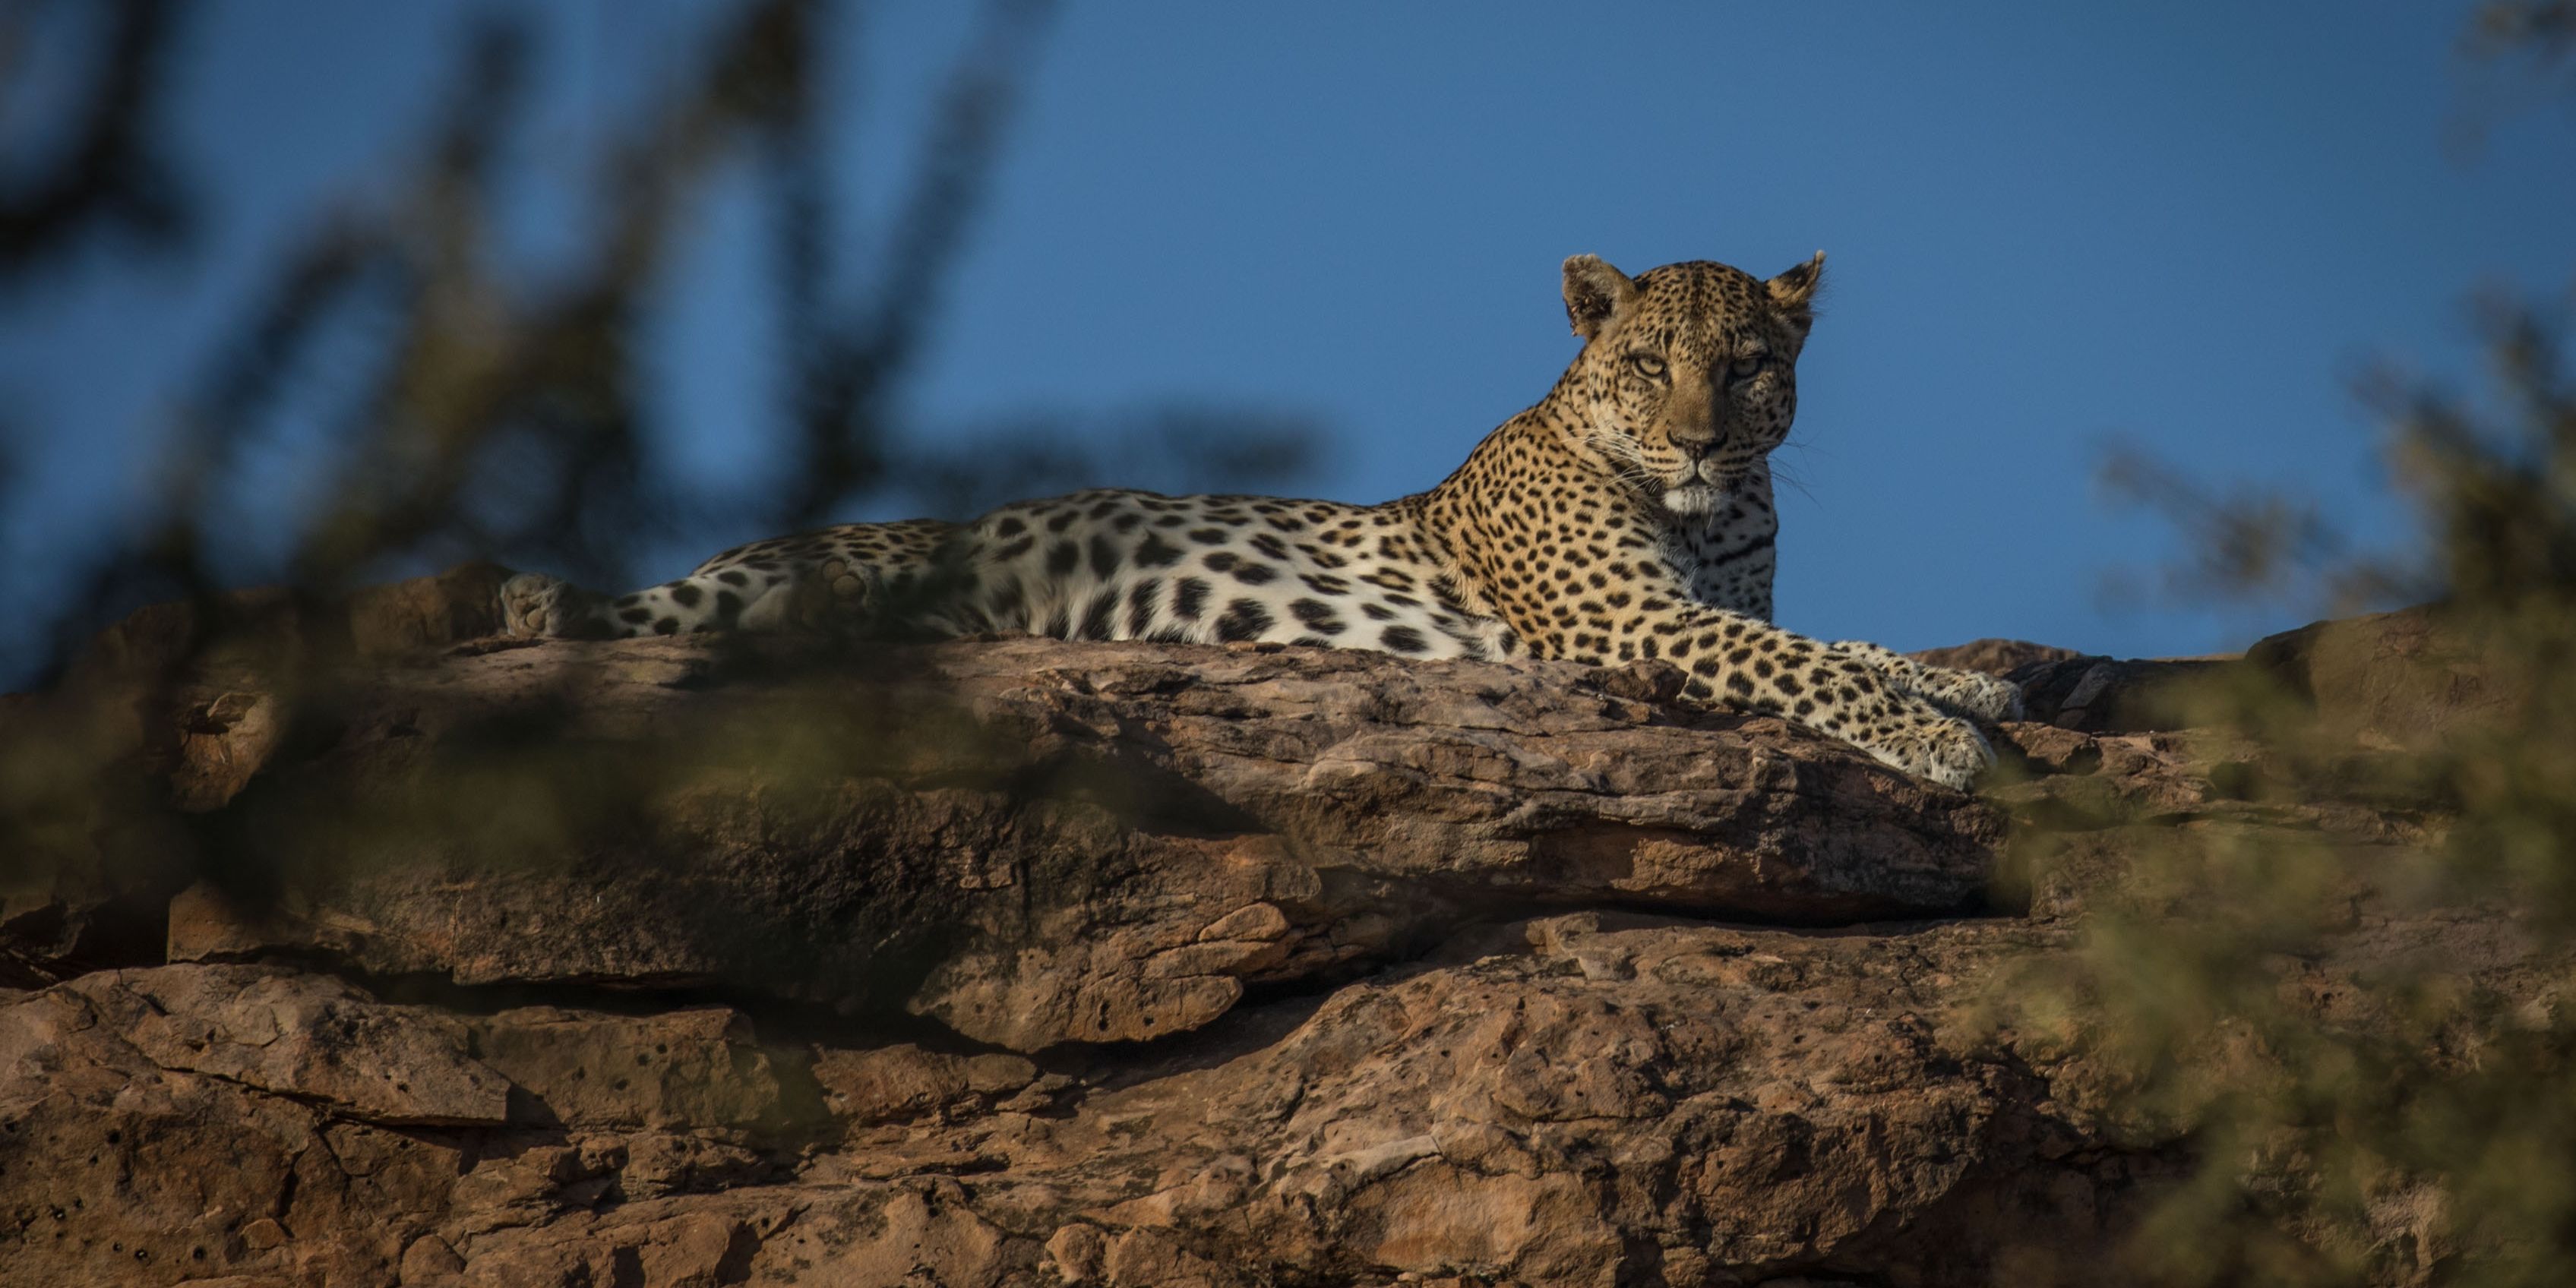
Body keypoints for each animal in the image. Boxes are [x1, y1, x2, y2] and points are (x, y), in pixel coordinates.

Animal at [497, 252, 2020, 788]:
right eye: (1650, 364)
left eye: (1752, 365)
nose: (1702, 437)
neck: (1711, 514)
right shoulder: (1632, 620)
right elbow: (1803, 664)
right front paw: (1940, 742)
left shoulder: (1706, 604)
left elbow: (1843, 645)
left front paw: (1971, 687)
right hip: (791, 575)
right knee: (623, 613)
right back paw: (533, 599)